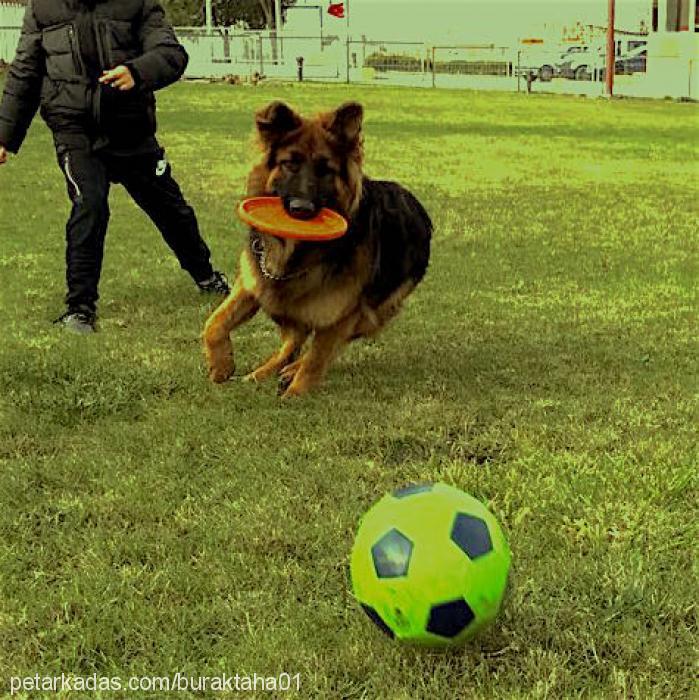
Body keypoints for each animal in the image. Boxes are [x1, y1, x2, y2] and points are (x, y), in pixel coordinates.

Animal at [202, 100, 432, 396]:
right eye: (290, 164)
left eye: (326, 170)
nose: (302, 210)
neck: (295, 252)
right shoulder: (254, 284)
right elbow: (214, 322)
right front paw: (221, 366)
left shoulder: (342, 313)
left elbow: (317, 357)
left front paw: (296, 393)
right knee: (294, 339)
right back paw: (264, 371)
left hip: (370, 315)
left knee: (323, 345)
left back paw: (289, 372)